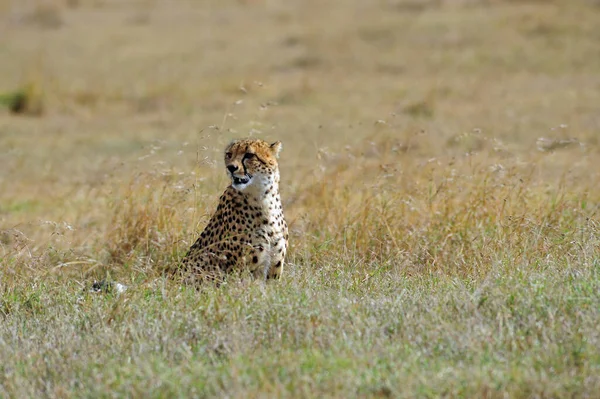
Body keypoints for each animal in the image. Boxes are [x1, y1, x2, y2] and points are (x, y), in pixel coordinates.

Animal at [180, 139, 288, 282]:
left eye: (249, 155)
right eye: (229, 154)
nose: (231, 167)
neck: (263, 199)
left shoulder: (274, 267)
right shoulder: (241, 268)